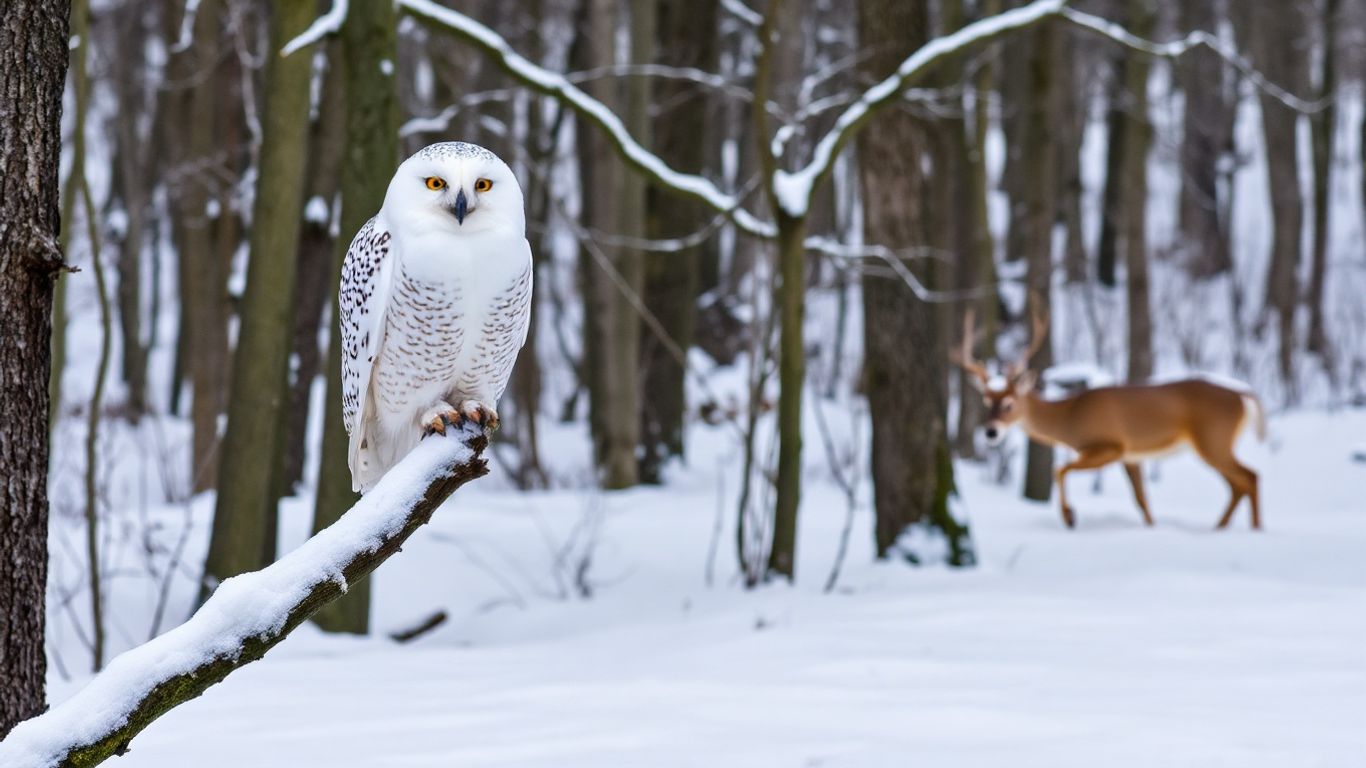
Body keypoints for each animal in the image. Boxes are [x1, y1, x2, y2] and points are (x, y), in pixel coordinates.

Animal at [953, 309, 1266, 531]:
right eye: (986, 402)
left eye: (1009, 404)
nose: (991, 432)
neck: (1069, 417)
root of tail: (1245, 395)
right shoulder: (1131, 457)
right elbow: (1142, 499)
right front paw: (1152, 528)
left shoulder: (1111, 446)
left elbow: (1060, 469)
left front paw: (1070, 517)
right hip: (1212, 444)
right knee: (1238, 484)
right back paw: (1221, 528)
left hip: (1213, 439)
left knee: (1250, 476)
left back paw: (1252, 529)